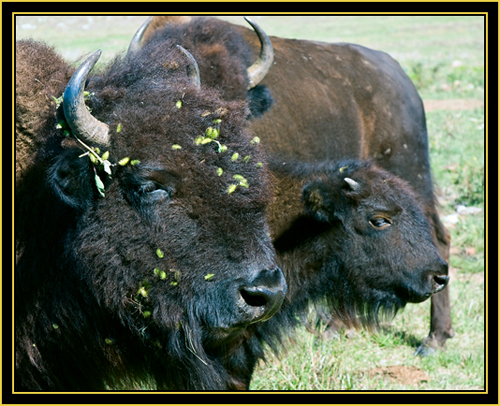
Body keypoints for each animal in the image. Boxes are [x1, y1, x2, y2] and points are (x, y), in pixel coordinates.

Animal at [139, 15, 456, 356]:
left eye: (240, 108)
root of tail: (402, 79)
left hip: (411, 172)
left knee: (439, 237)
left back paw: (434, 339)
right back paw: (336, 327)